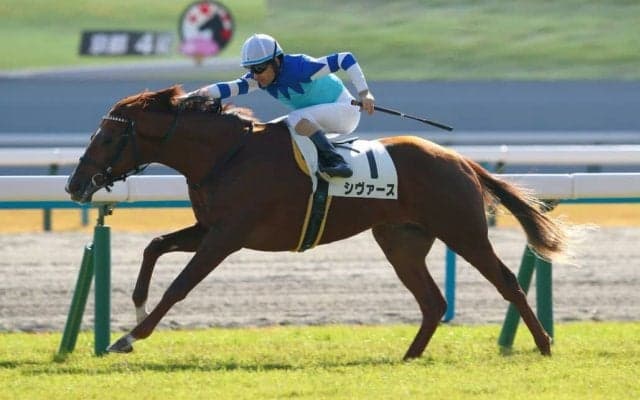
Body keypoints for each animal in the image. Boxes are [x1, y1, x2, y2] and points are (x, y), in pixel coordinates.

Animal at [65, 85, 567, 360]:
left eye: (106, 137)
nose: (73, 184)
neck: (226, 155)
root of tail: (462, 160)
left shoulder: (227, 236)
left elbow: (179, 286)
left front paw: (129, 337)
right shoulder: (209, 228)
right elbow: (153, 246)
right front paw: (135, 308)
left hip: (462, 230)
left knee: (506, 281)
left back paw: (543, 344)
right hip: (401, 240)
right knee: (431, 302)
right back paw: (408, 356)